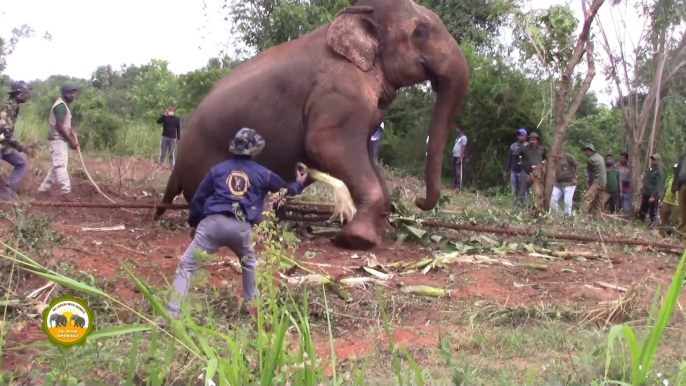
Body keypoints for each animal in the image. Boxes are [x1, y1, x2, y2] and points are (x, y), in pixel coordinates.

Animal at [156, 0, 470, 250]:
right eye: (421, 32)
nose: (418, 201)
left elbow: (366, 156)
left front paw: (381, 230)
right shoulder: (338, 92)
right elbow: (324, 145)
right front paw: (357, 240)